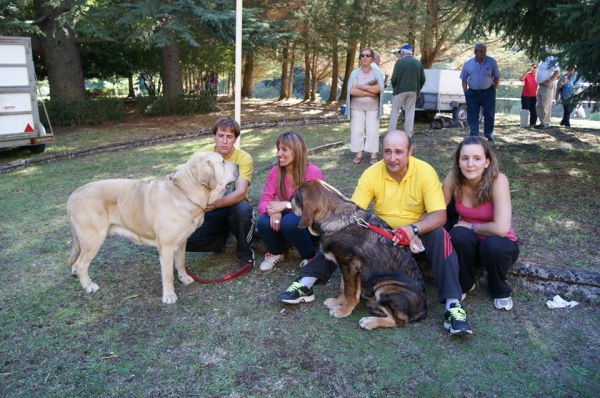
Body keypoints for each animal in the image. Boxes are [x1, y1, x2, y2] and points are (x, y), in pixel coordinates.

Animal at [66, 151, 239, 304]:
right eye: (223, 162)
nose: (237, 165)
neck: (184, 192)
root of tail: (72, 196)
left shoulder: (181, 242)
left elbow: (181, 263)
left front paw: (184, 278)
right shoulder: (166, 248)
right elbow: (168, 274)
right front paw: (169, 295)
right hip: (93, 238)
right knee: (81, 264)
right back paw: (88, 285)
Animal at [290, 180, 426, 330]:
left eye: (297, 194)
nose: (289, 199)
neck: (335, 217)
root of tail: (423, 310)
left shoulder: (350, 267)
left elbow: (349, 292)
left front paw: (343, 311)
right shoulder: (346, 267)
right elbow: (343, 287)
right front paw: (337, 302)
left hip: (385, 288)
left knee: (398, 321)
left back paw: (370, 321)